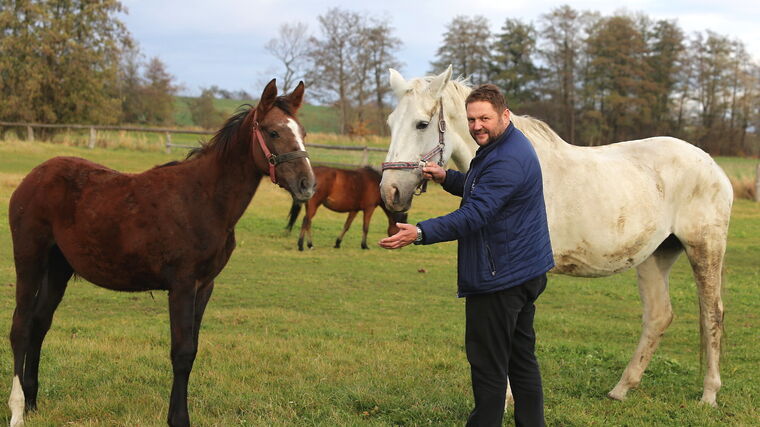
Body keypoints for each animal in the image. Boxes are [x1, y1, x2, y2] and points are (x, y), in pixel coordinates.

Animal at [6, 78, 314, 426]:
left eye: (303, 132)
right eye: (273, 132)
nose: (307, 184)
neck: (204, 199)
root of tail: (33, 176)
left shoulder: (205, 286)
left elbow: (192, 349)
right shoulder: (181, 285)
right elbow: (181, 351)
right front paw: (179, 418)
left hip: (58, 266)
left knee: (39, 323)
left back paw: (33, 402)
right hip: (29, 258)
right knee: (20, 327)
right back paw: (17, 410)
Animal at [382, 66, 732, 408]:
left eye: (422, 124)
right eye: (390, 123)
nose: (390, 192)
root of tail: (713, 166)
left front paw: (505, 399)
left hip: (704, 249)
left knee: (712, 313)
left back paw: (709, 394)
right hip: (654, 256)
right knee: (659, 316)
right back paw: (621, 389)